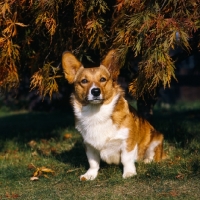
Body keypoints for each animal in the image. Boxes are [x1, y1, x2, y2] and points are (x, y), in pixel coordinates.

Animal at [62, 50, 164, 181]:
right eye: (84, 81)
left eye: (103, 79)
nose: (95, 91)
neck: (96, 113)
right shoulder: (89, 145)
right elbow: (93, 163)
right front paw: (90, 175)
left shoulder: (128, 142)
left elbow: (126, 160)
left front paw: (129, 173)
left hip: (156, 140)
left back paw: (147, 161)